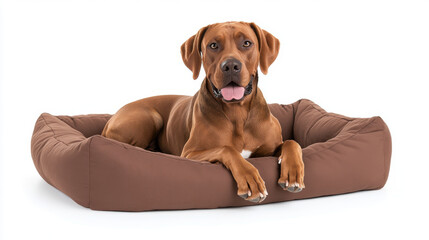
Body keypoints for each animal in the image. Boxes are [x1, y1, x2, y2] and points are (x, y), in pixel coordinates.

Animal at [102, 22, 304, 202]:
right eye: (213, 45)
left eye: (247, 43)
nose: (231, 65)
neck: (237, 112)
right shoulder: (190, 153)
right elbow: (228, 149)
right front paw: (249, 178)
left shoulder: (270, 146)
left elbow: (291, 142)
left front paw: (293, 173)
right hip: (149, 116)